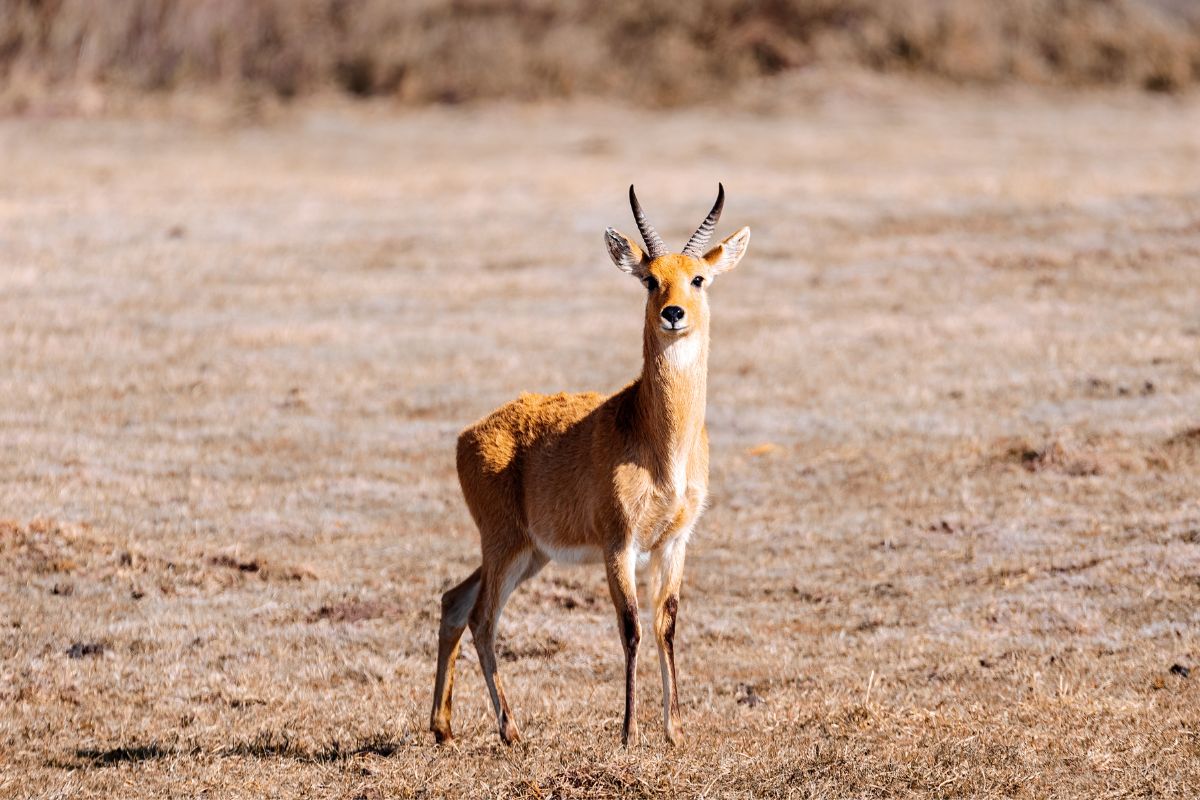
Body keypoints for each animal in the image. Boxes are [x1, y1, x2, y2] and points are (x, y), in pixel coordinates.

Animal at [429, 185, 750, 747]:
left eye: (698, 278)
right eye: (650, 278)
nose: (673, 313)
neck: (656, 441)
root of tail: (469, 433)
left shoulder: (675, 541)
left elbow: (666, 624)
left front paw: (675, 731)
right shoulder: (618, 544)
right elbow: (630, 627)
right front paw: (629, 733)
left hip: (529, 551)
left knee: (455, 600)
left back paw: (442, 728)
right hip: (506, 545)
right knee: (483, 618)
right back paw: (511, 731)